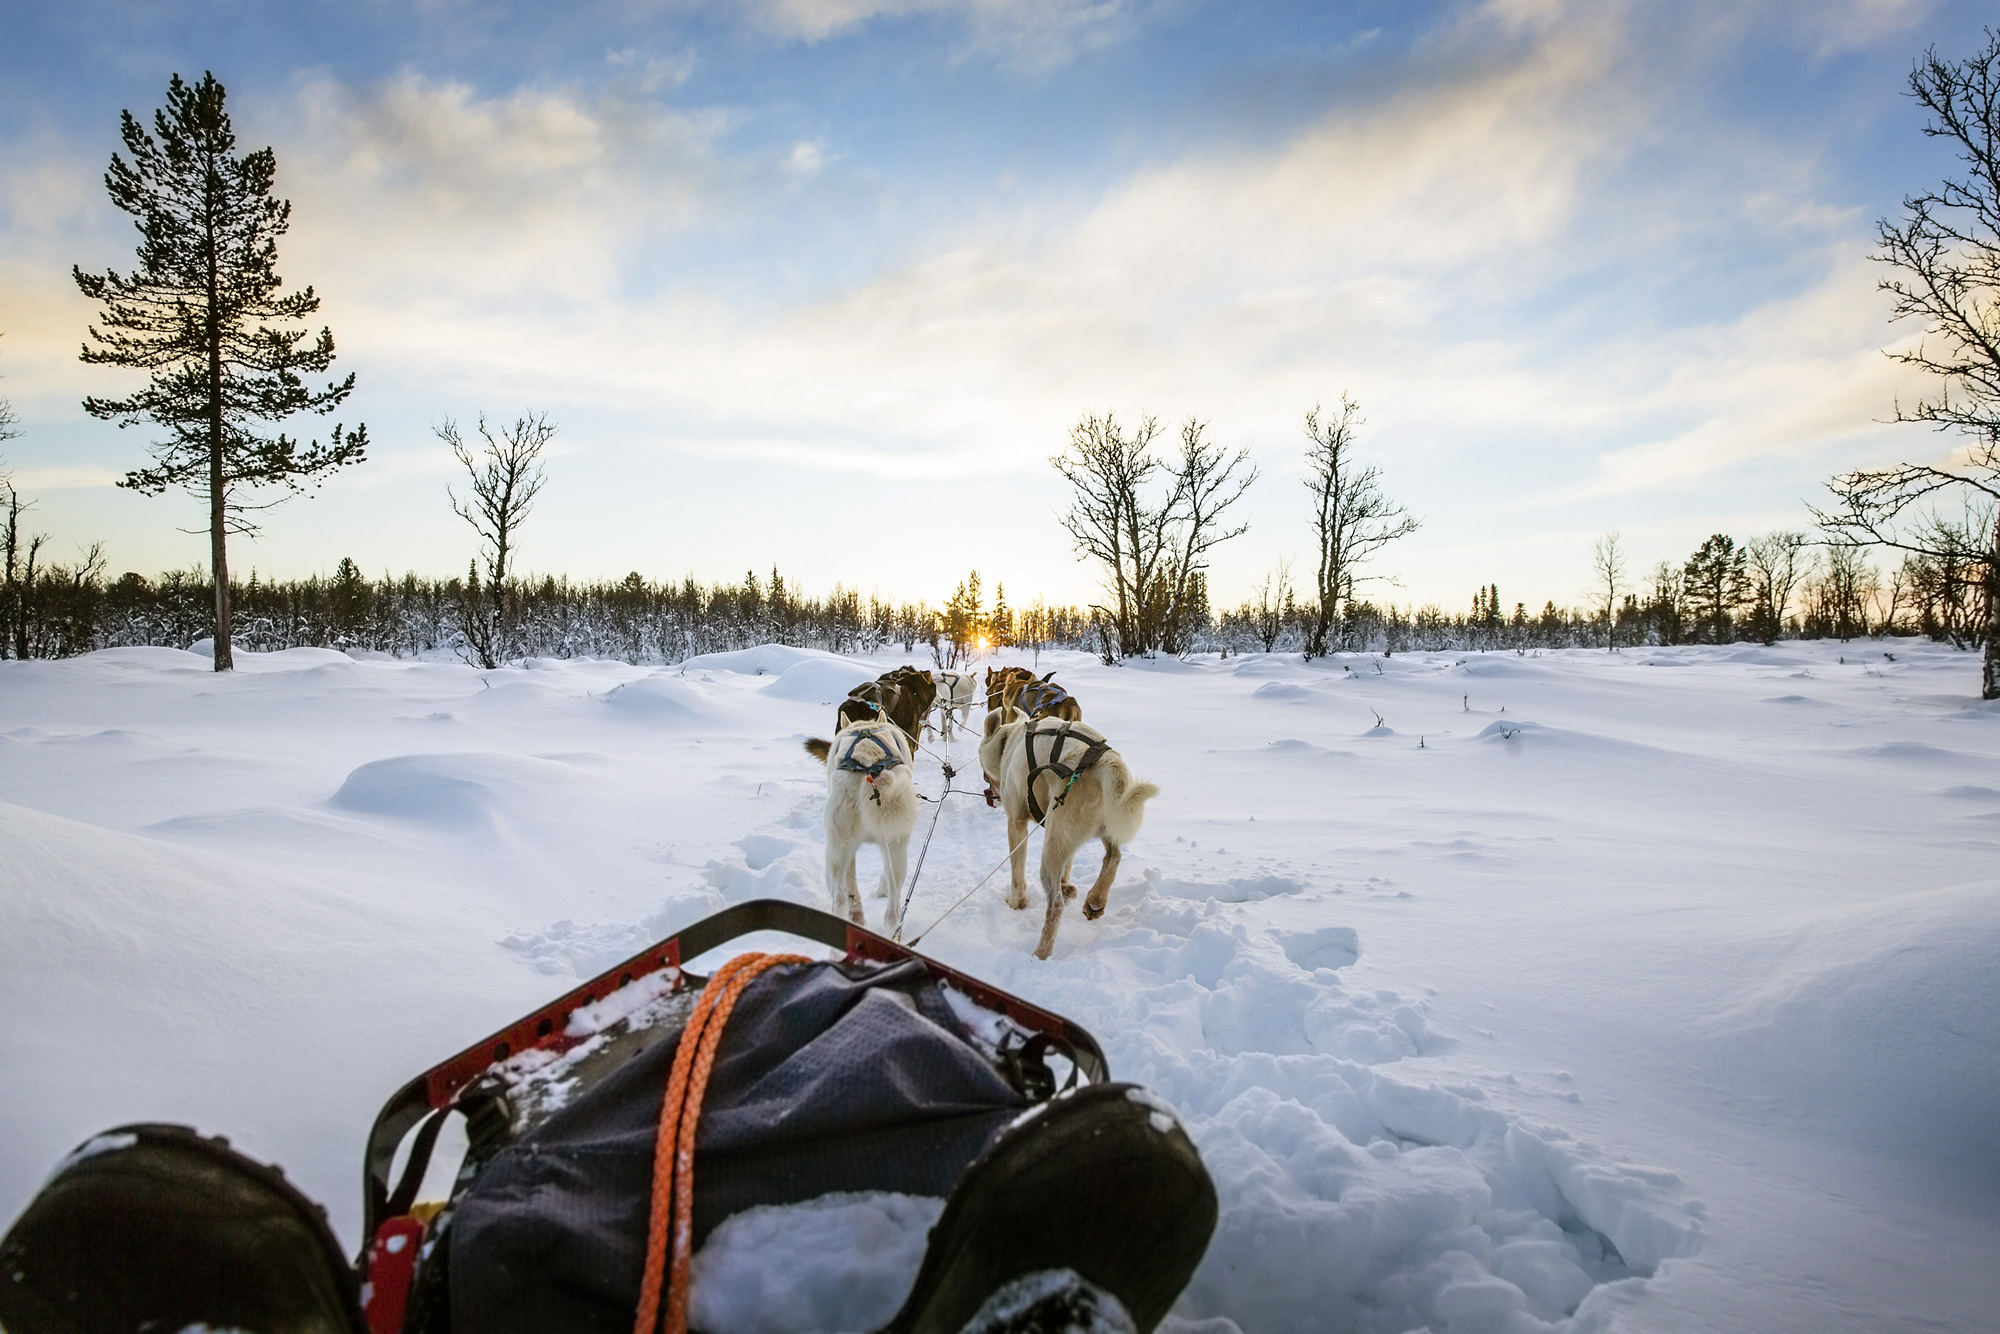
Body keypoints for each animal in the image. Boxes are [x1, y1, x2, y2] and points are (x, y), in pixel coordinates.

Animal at [800, 724, 916, 936]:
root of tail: (871, 770)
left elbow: (852, 885)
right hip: (894, 849)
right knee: (891, 910)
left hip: (835, 854)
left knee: (840, 897)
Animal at [980, 708, 1160, 960]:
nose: (989, 790)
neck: (1010, 741)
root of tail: (1105, 762)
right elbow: (1069, 864)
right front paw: (1067, 887)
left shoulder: (1016, 824)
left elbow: (1017, 874)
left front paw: (1016, 903)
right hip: (1091, 827)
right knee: (1113, 856)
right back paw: (1095, 900)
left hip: (1051, 848)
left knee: (1055, 905)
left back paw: (1041, 953)